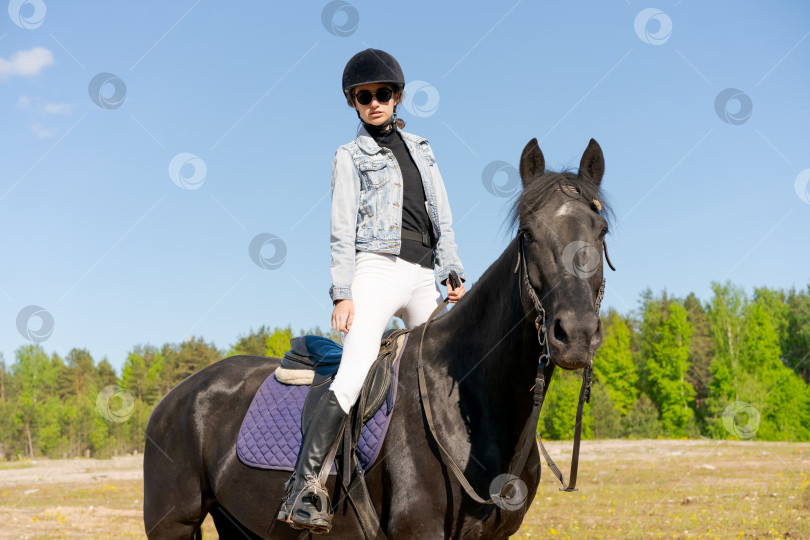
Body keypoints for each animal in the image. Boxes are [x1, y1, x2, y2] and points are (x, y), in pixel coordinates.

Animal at [145, 139, 608, 540]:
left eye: (601, 231)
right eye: (527, 233)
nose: (575, 335)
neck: (471, 401)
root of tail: (176, 398)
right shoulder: (419, 532)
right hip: (174, 525)